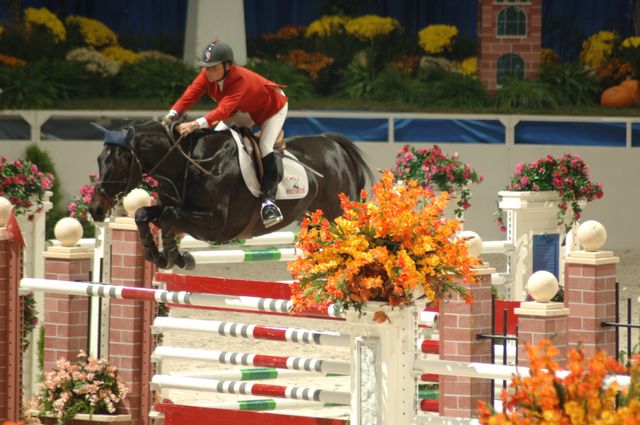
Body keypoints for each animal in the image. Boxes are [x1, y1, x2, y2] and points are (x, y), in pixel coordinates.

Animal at [87, 120, 372, 268]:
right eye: (99, 160)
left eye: (120, 162)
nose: (94, 209)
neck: (190, 163)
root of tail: (333, 144)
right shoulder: (174, 208)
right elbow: (144, 215)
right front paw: (159, 256)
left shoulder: (216, 226)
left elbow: (169, 217)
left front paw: (178, 258)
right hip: (315, 220)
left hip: (338, 214)